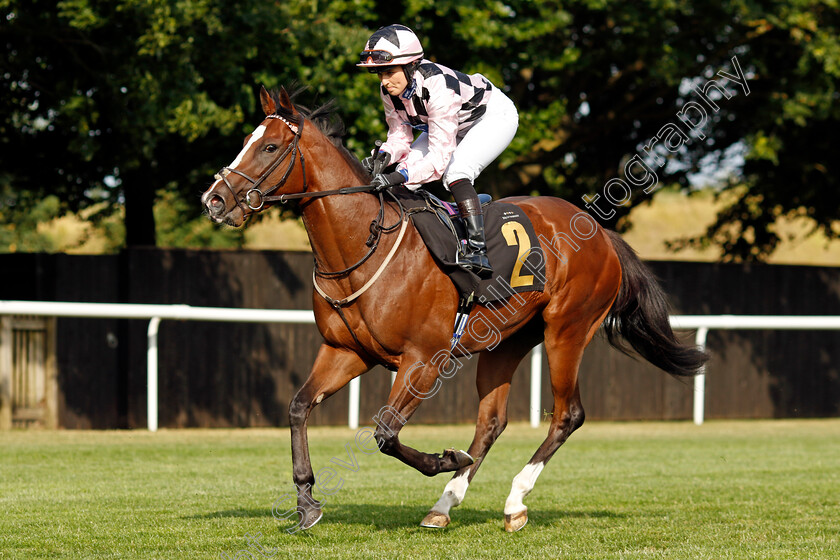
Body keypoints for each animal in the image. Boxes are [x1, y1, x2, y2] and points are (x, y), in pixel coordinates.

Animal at [200, 85, 704, 532]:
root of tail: (601, 233)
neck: (361, 247)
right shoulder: (346, 351)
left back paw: (515, 500)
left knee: (568, 415)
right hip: (507, 341)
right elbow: (299, 407)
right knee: (491, 422)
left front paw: (443, 458)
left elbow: (385, 431)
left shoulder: (422, 359)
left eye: (269, 146)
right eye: (245, 142)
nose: (215, 200)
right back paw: (445, 505)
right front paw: (306, 501)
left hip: (567, 330)